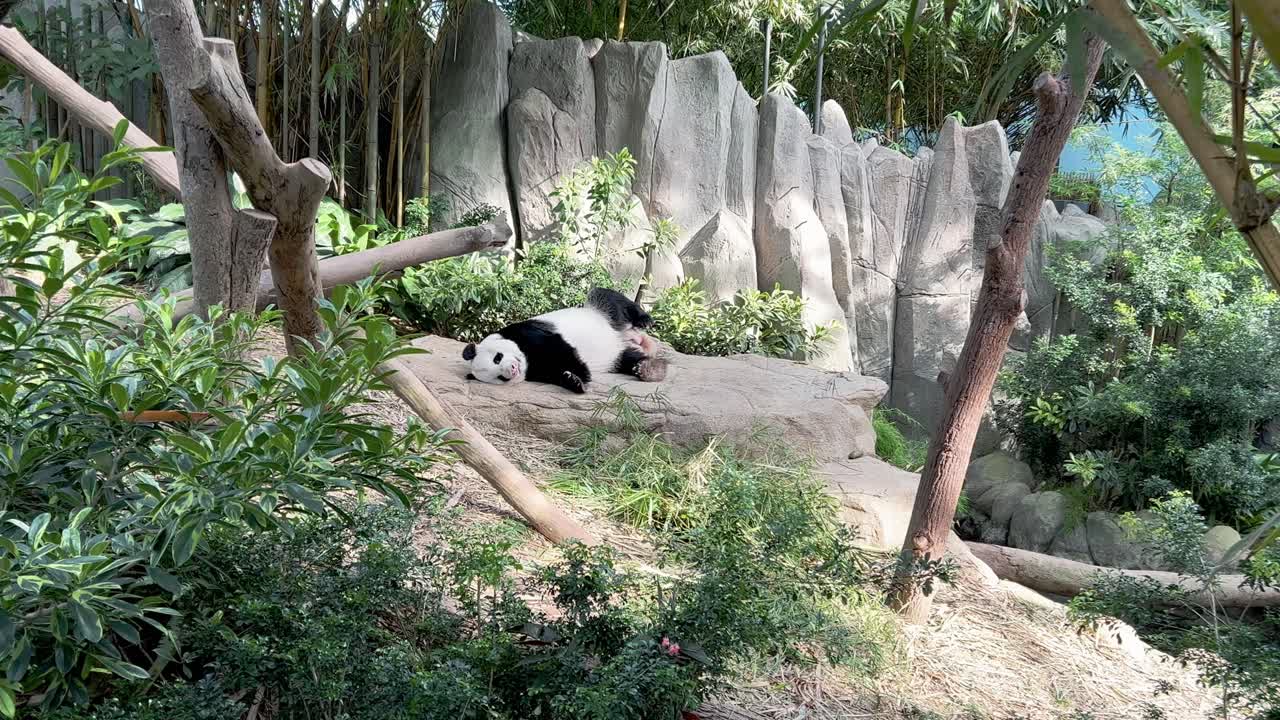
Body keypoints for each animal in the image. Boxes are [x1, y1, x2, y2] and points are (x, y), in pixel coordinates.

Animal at [462, 288, 668, 394]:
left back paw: (645, 320)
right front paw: (573, 381)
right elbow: (555, 372)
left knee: (609, 299)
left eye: (497, 357)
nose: (512, 369)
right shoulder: (537, 371)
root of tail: (625, 336)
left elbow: (559, 347)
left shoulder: (526, 333)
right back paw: (649, 369)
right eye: (500, 377)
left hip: (602, 312)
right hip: (615, 355)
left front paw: (583, 373)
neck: (528, 360)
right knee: (627, 359)